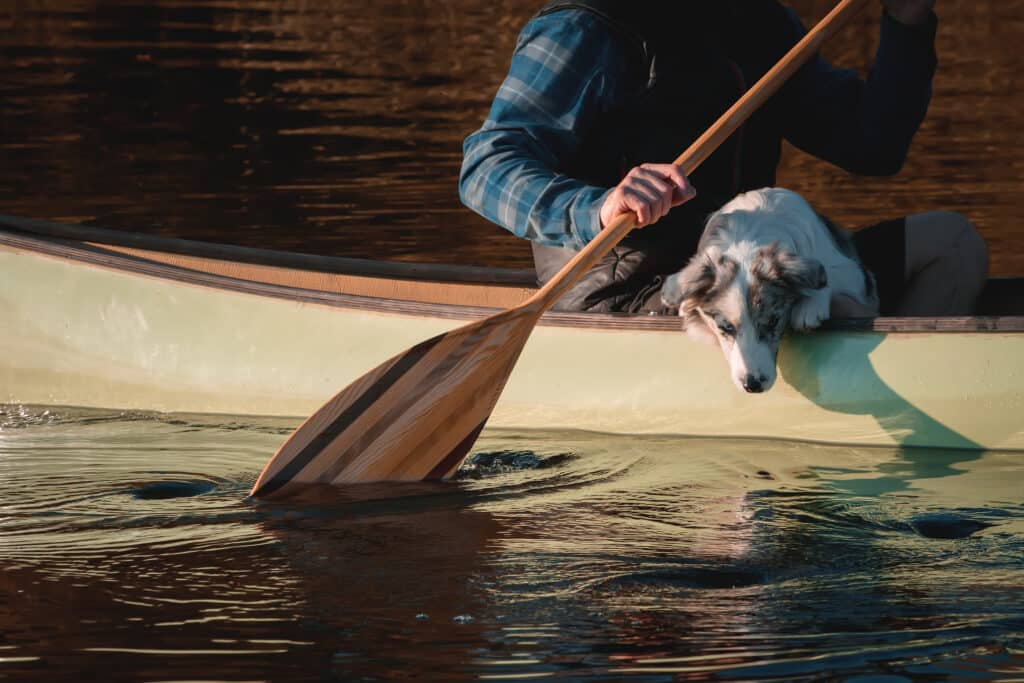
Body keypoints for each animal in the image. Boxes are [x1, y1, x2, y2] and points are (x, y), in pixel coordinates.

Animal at [663, 187, 880, 395]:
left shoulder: (854, 273)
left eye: (774, 321)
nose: (752, 385)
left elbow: (825, 273)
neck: (746, 241)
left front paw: (810, 305)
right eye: (726, 327)